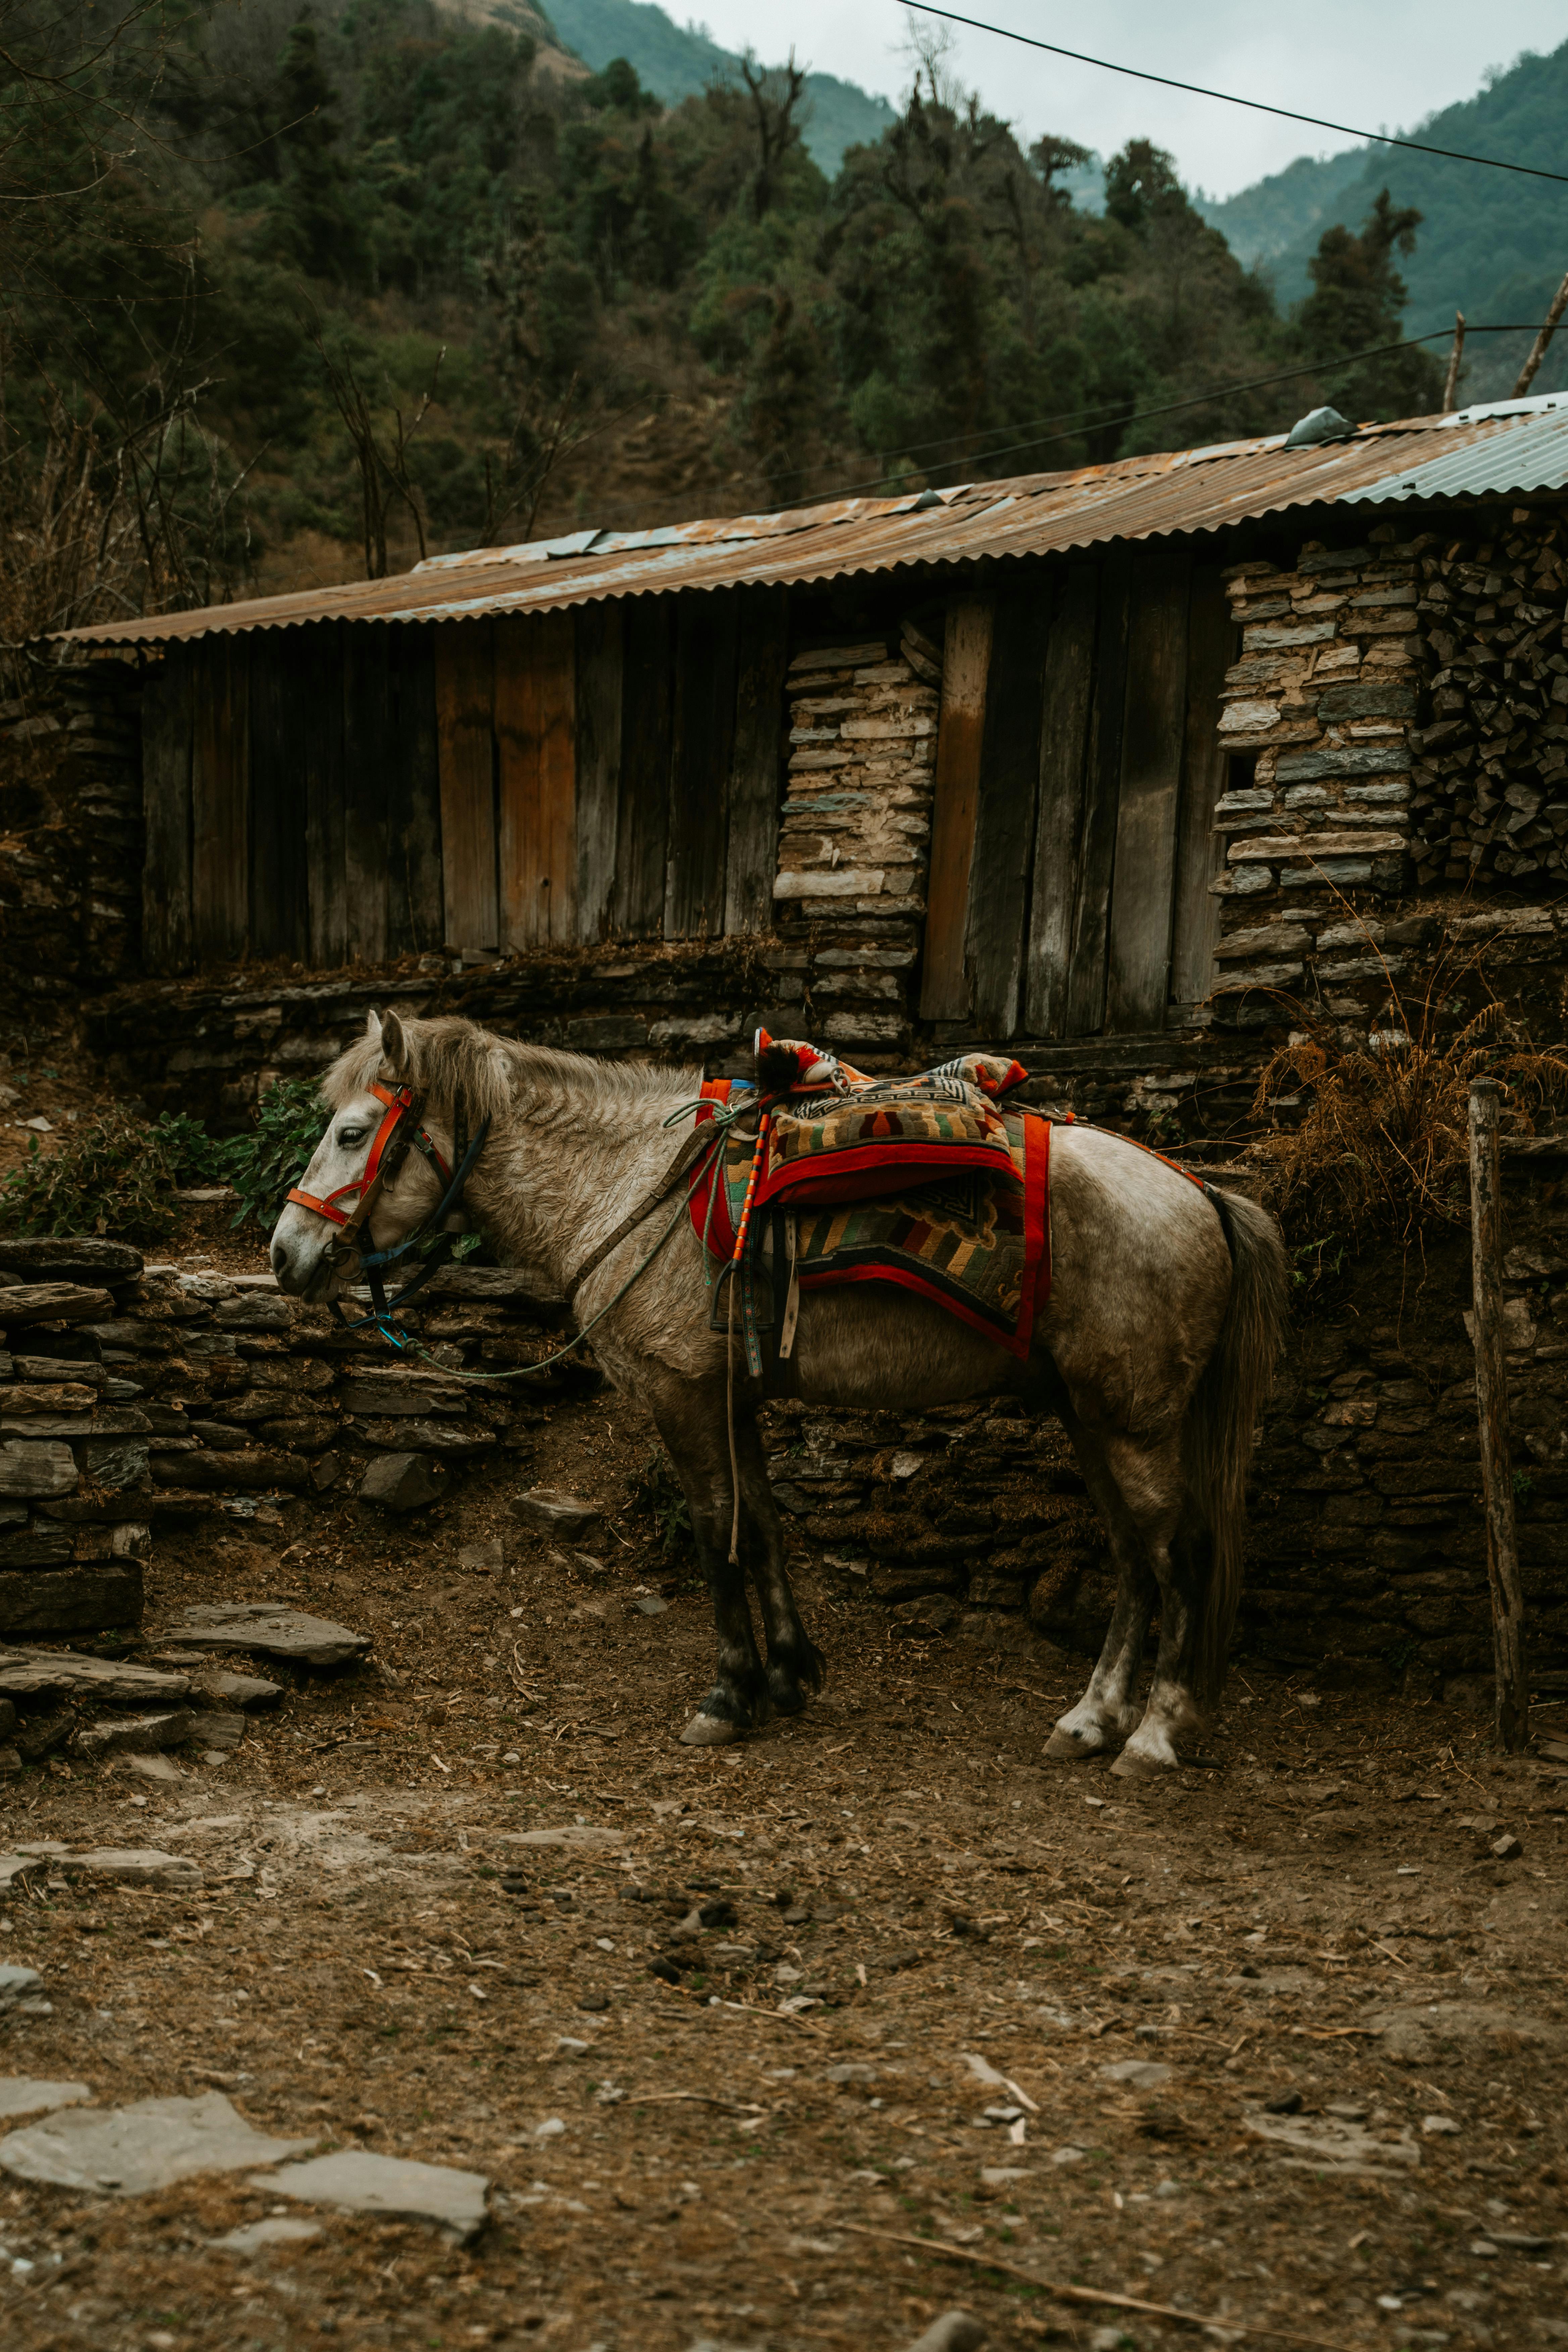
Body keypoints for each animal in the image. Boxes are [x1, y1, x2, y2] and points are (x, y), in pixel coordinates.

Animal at [270, 1011, 1297, 1769]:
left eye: (353, 1133)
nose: (285, 1255)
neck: (627, 1182)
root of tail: (1200, 1191)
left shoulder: (682, 1395)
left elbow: (716, 1534)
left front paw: (730, 1695)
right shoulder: (733, 1398)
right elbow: (761, 1525)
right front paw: (792, 1676)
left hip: (1133, 1422)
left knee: (1179, 1557)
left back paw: (1153, 1734)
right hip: (1094, 1418)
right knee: (1133, 1559)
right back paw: (1090, 1719)